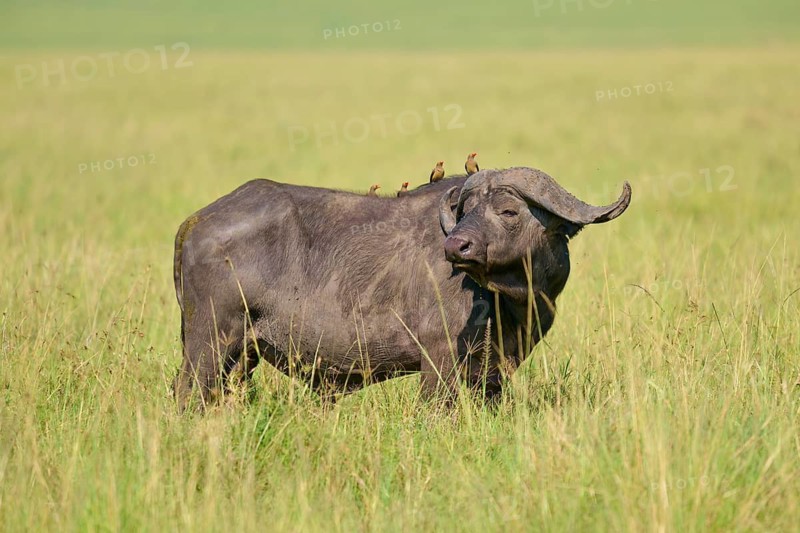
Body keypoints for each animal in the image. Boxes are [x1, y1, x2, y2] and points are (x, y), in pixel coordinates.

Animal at [172, 167, 631, 410]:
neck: (505, 299)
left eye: (508, 211)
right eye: (466, 210)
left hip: (242, 356)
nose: (456, 246)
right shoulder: (439, 358)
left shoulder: (494, 371)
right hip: (209, 344)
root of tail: (194, 223)